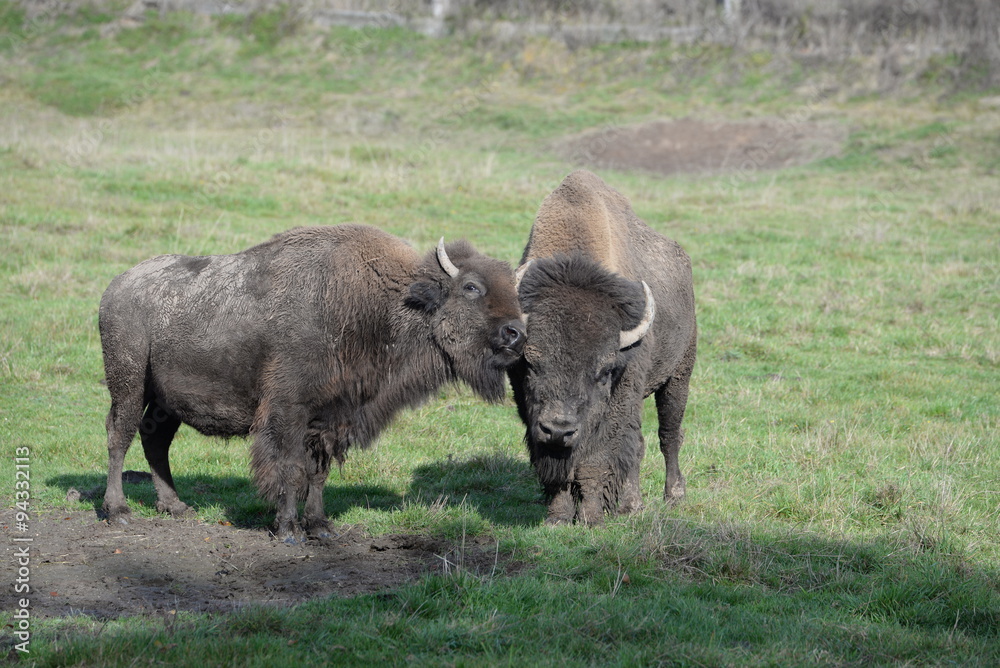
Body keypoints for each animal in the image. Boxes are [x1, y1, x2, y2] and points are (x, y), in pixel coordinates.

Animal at [97, 226, 528, 544]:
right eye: (471, 287)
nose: (517, 333)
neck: (381, 303)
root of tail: (116, 287)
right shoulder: (289, 410)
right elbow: (291, 469)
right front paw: (288, 530)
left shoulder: (332, 418)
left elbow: (317, 473)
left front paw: (320, 527)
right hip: (129, 382)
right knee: (120, 434)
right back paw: (119, 512)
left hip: (165, 400)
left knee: (155, 439)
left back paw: (176, 507)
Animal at [508, 170, 696, 524]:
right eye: (531, 363)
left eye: (604, 371)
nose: (559, 429)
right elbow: (559, 466)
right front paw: (557, 518)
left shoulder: (619, 396)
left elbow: (597, 460)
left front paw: (591, 518)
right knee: (638, 445)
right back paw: (631, 504)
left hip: (679, 374)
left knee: (669, 435)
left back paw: (674, 496)